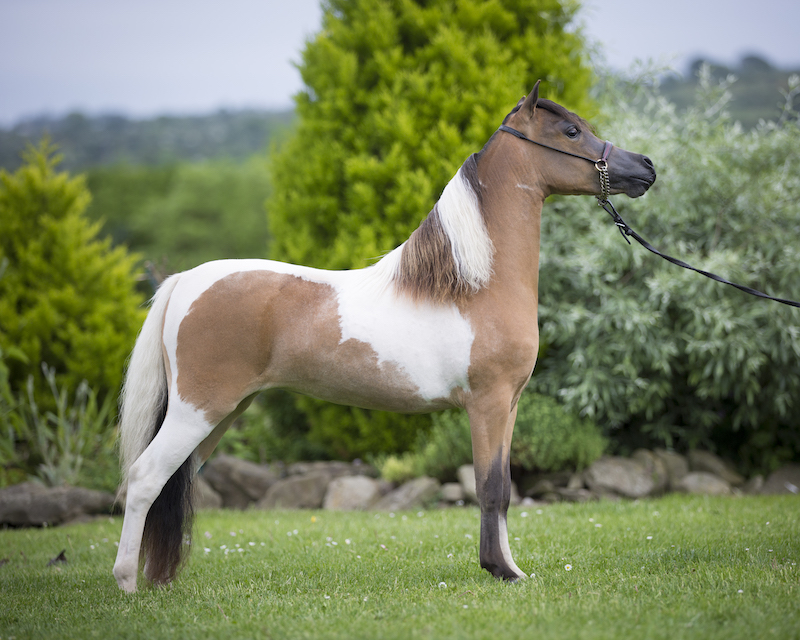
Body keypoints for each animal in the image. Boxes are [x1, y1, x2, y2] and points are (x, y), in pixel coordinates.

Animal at [113, 81, 656, 592]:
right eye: (571, 131)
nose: (646, 167)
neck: (474, 285)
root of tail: (185, 281)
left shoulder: (510, 406)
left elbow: (502, 486)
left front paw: (510, 568)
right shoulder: (488, 403)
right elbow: (491, 488)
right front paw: (500, 570)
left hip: (220, 415)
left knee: (173, 483)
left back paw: (157, 578)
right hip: (198, 412)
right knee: (144, 479)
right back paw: (127, 584)